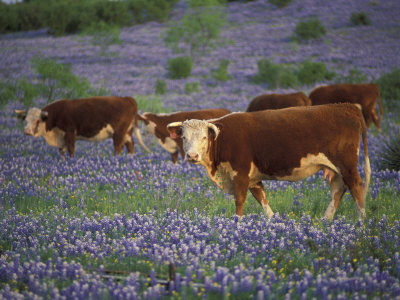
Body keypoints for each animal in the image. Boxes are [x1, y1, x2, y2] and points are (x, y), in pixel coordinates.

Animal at [14, 96, 151, 157]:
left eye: (37, 120)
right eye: (25, 119)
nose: (27, 131)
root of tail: (127, 98)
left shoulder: (70, 133)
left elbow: (71, 150)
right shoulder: (61, 138)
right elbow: (62, 152)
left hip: (119, 132)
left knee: (119, 147)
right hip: (127, 131)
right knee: (130, 144)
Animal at [167, 104, 370, 219]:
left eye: (204, 137)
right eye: (184, 137)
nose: (192, 156)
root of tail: (348, 107)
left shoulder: (240, 174)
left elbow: (240, 202)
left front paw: (236, 226)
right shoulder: (254, 179)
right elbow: (263, 202)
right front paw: (274, 223)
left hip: (347, 165)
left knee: (356, 186)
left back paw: (361, 224)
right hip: (335, 169)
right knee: (338, 189)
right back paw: (326, 221)